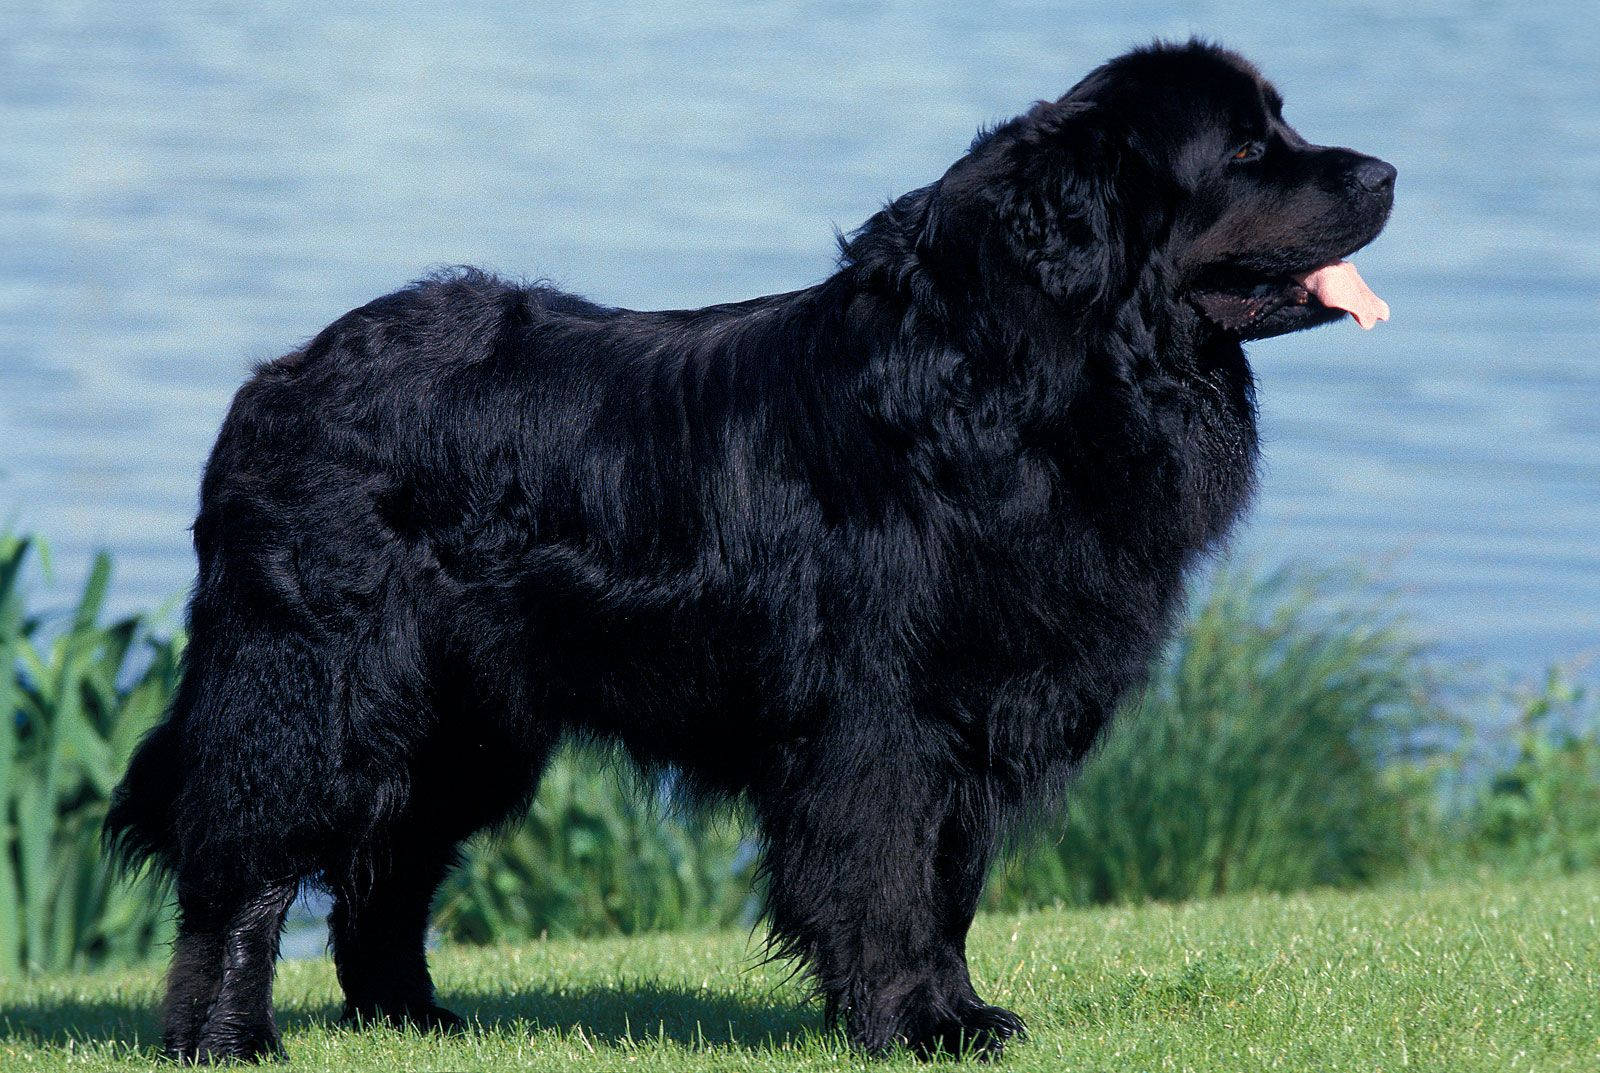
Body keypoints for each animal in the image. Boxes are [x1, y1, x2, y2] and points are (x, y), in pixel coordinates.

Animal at [106, 41, 1395, 1068]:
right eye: (1246, 150)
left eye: (1281, 129)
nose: (1384, 172)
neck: (1008, 380)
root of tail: (277, 380)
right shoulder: (883, 712)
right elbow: (886, 871)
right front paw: (909, 1023)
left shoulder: (968, 711)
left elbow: (949, 882)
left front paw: (960, 1013)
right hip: (318, 684)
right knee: (248, 866)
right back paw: (225, 1039)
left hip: (465, 720)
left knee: (389, 865)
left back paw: (412, 1019)